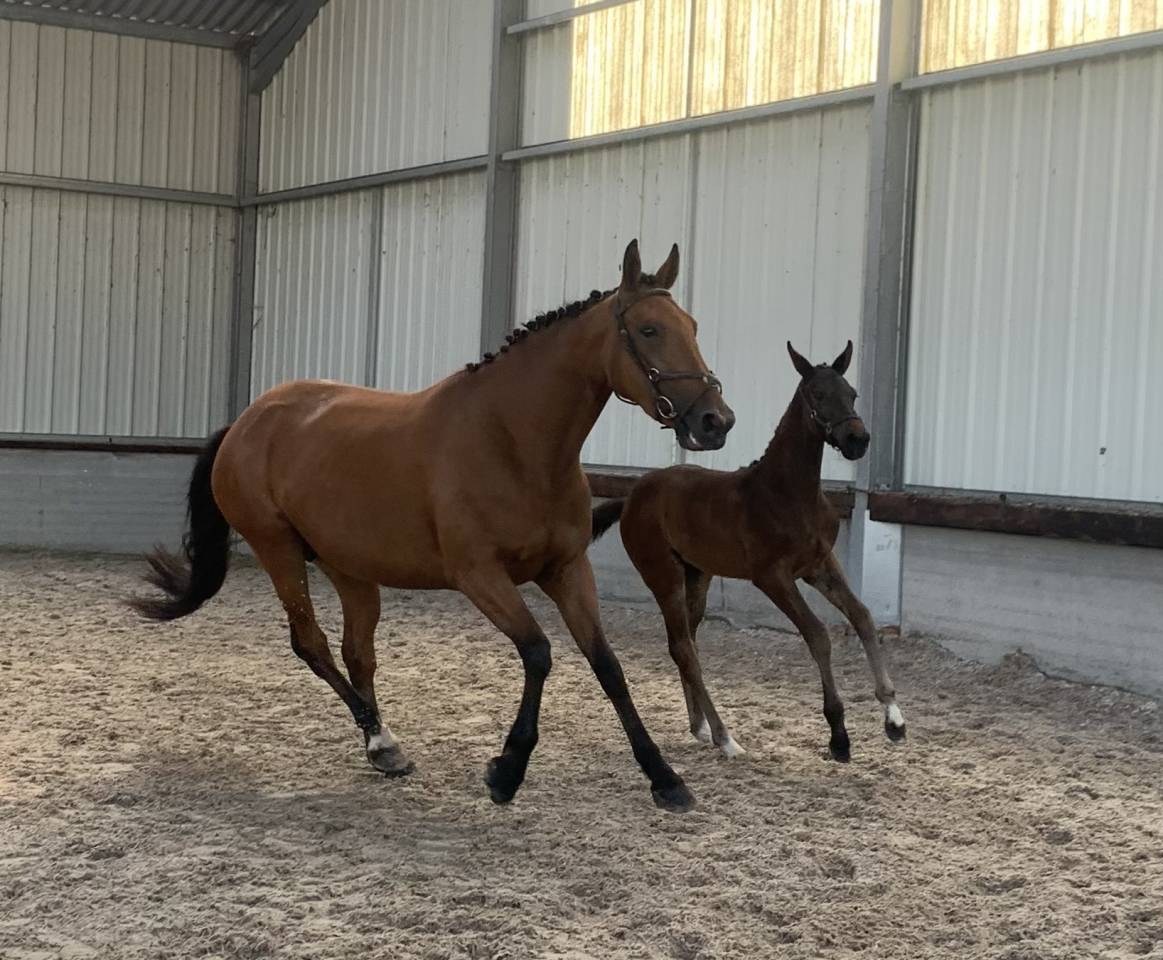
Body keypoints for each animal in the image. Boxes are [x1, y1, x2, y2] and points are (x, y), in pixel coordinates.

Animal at [128, 240, 734, 812]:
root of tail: (246, 421)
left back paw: (383, 746)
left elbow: (606, 665)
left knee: (356, 651)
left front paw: (665, 779)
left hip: (350, 569)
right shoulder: (480, 577)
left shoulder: (566, 570)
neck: (513, 441)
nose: (716, 421)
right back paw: (381, 742)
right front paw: (506, 771)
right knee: (312, 644)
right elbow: (538, 652)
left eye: (693, 326)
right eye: (649, 329)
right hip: (278, 551)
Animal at [590, 340, 906, 764]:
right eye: (818, 394)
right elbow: (817, 634)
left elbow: (863, 617)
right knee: (682, 646)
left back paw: (701, 726)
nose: (858, 439)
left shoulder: (819, 564)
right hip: (663, 575)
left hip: (698, 575)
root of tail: (631, 498)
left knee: (687, 642)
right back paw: (725, 738)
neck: (790, 493)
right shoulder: (772, 577)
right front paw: (839, 735)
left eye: (852, 394)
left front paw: (894, 718)